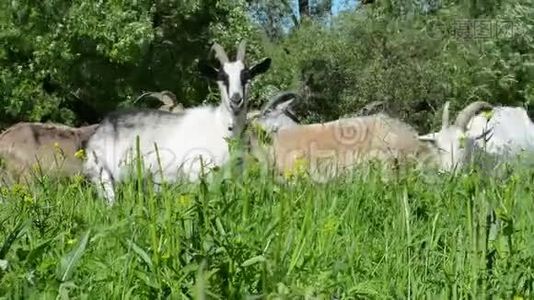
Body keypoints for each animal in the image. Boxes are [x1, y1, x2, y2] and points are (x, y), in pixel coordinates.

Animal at [86, 40, 274, 204]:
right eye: (222, 77)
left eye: (247, 76)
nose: (236, 100)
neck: (221, 126)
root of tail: (102, 127)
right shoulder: (198, 173)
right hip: (102, 174)